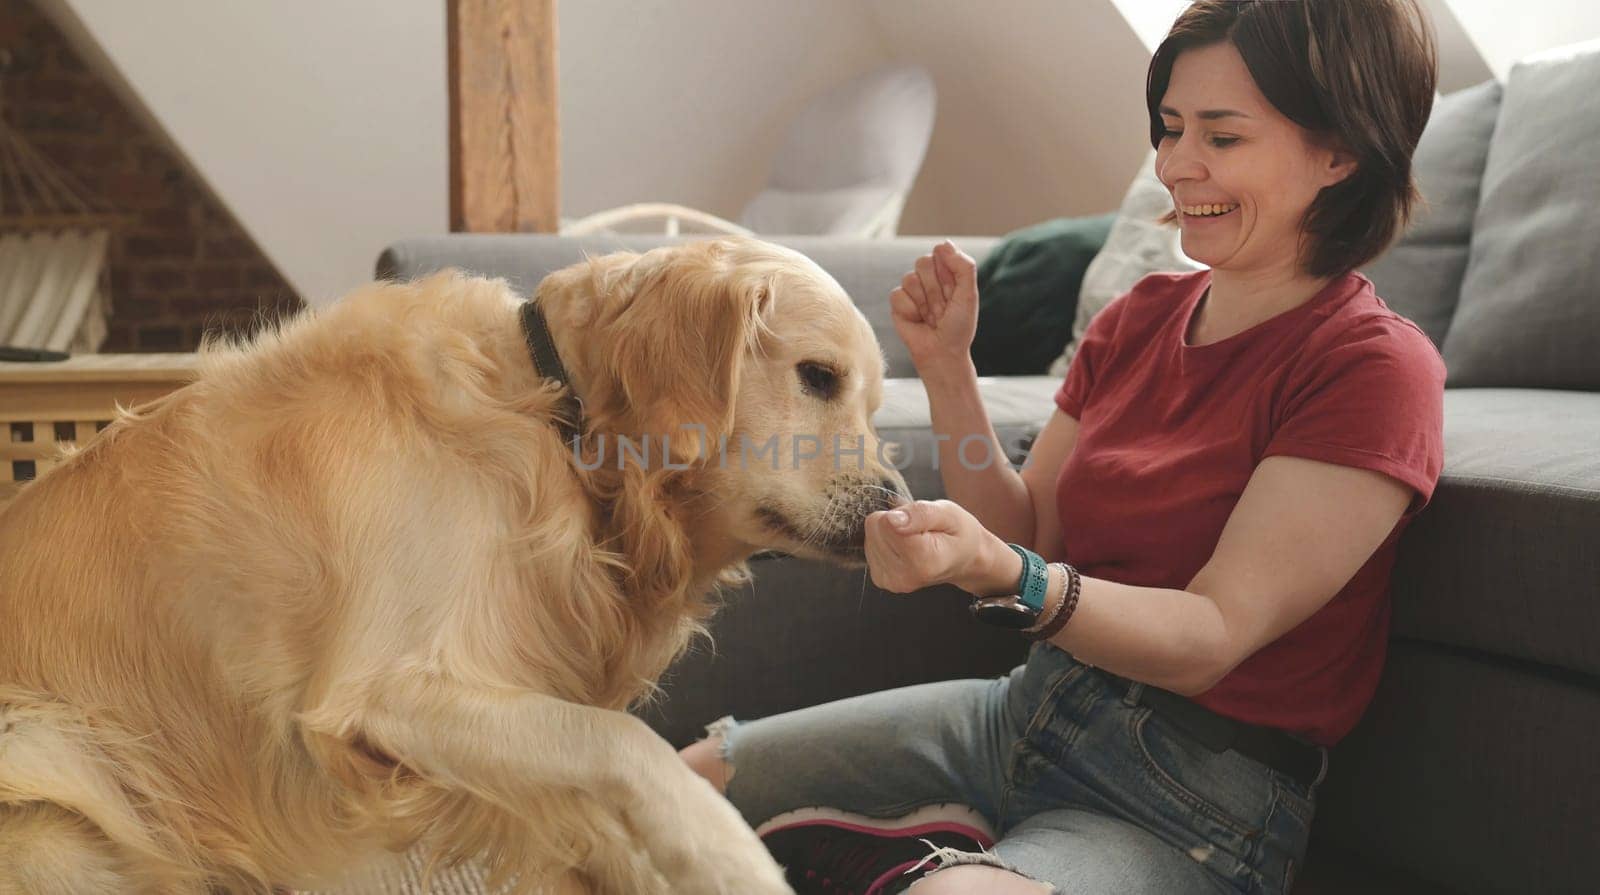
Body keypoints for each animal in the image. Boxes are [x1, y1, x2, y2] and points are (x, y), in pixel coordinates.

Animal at [0, 238, 915, 895]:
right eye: (818, 376)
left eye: (876, 400)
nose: (896, 502)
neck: (555, 419)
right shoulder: (386, 689)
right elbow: (622, 741)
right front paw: (728, 857)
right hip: (63, 770)